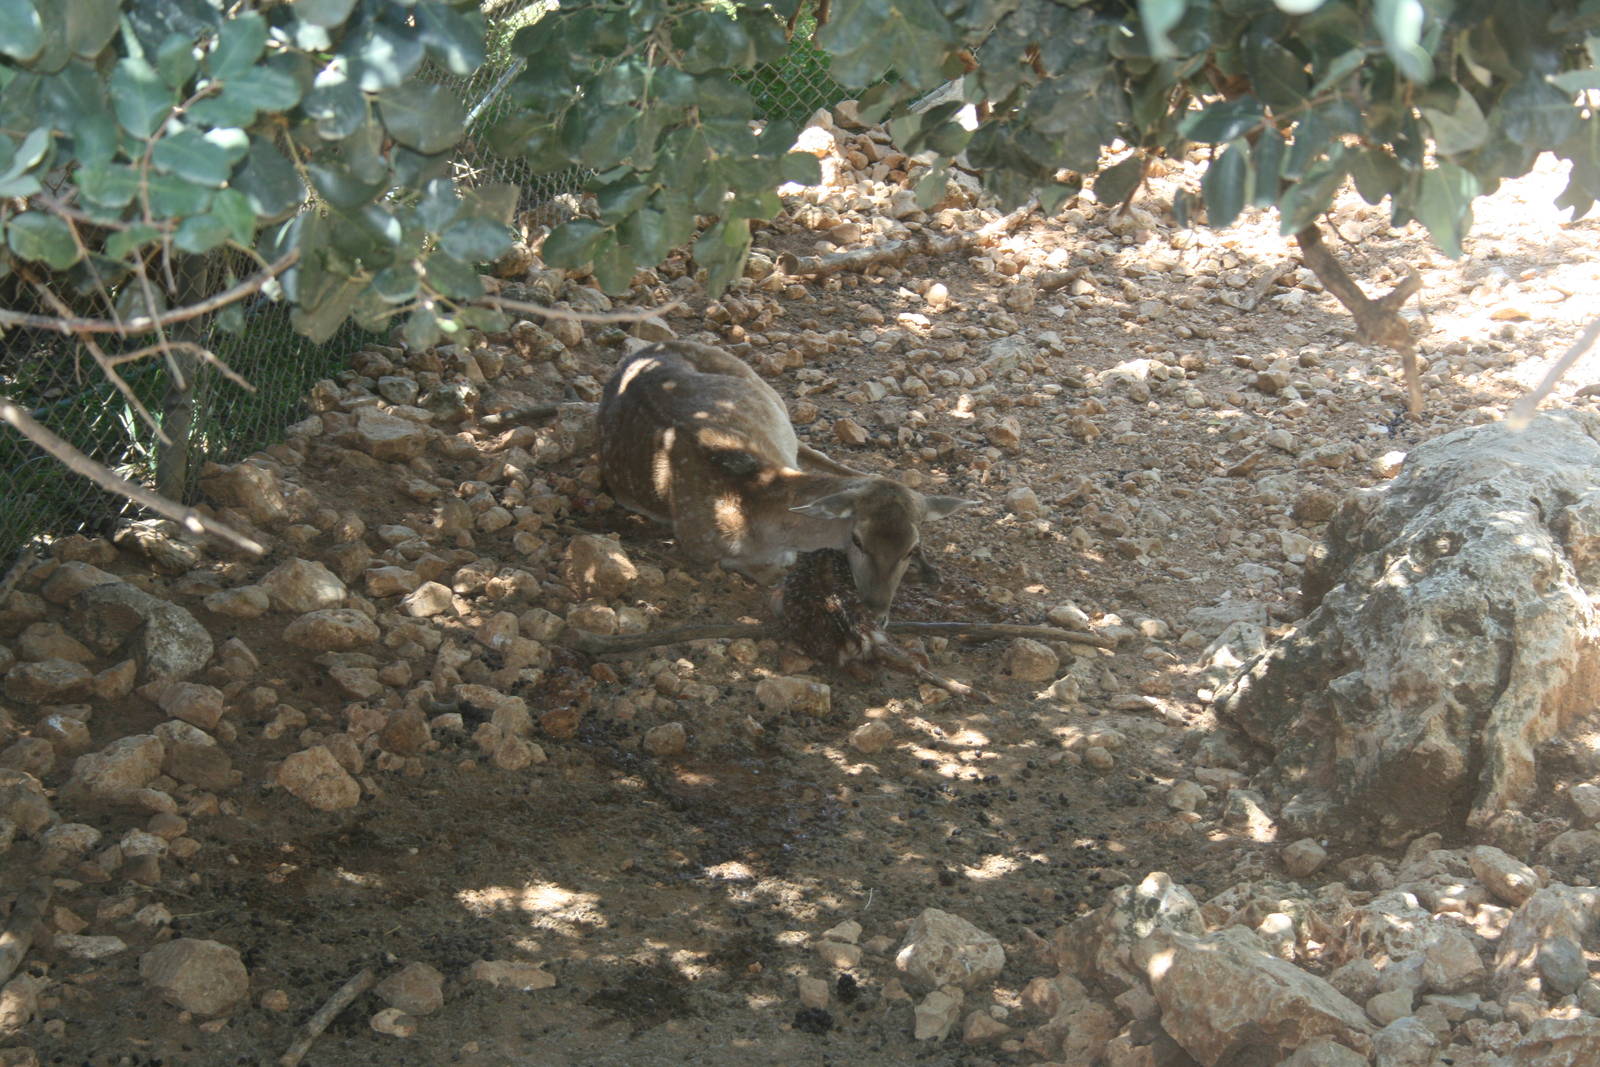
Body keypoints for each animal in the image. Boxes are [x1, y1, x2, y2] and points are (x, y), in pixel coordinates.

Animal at [597, 340, 972, 622]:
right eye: (858, 540)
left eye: (912, 547)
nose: (876, 612)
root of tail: (638, 351)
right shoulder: (700, 547)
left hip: (763, 388)